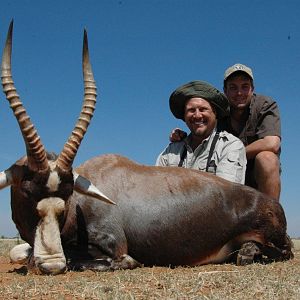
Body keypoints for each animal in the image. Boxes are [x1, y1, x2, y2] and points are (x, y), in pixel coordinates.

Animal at [0, 21, 292, 274]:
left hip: (276, 241)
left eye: (68, 192)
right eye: (26, 190)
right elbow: (18, 252)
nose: (52, 264)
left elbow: (116, 259)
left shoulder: (115, 246)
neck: (80, 205)